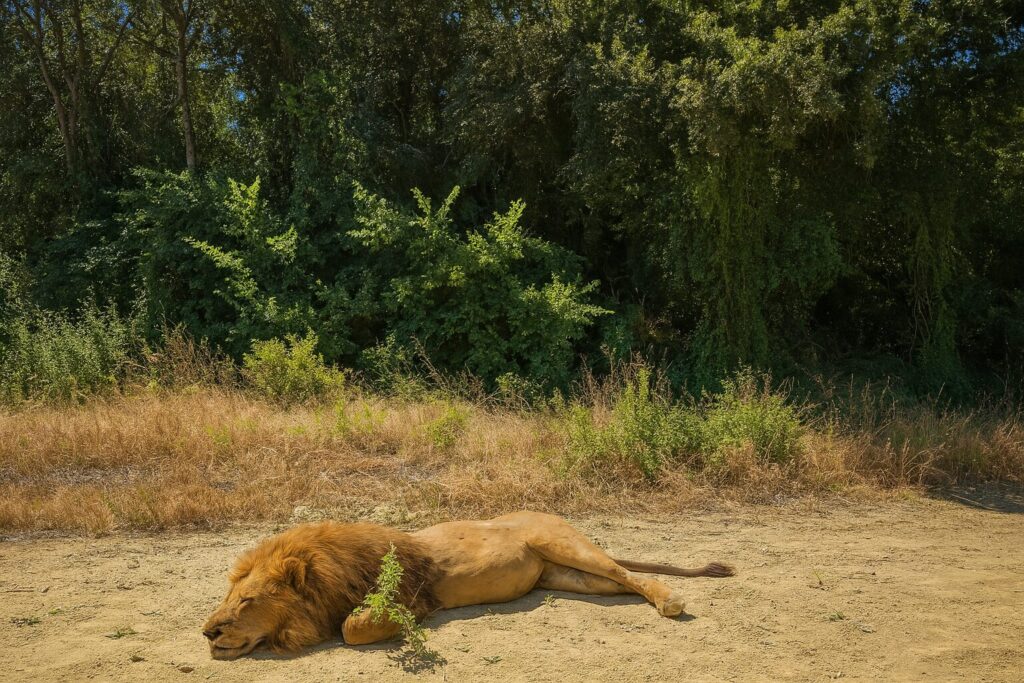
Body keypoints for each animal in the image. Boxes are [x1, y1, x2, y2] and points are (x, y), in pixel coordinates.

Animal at [202, 511, 734, 659]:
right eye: (226, 598)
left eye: (247, 600)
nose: (208, 632)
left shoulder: (409, 593)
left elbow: (354, 628)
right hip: (572, 578)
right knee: (623, 584)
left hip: (565, 545)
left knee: (628, 573)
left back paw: (670, 600)